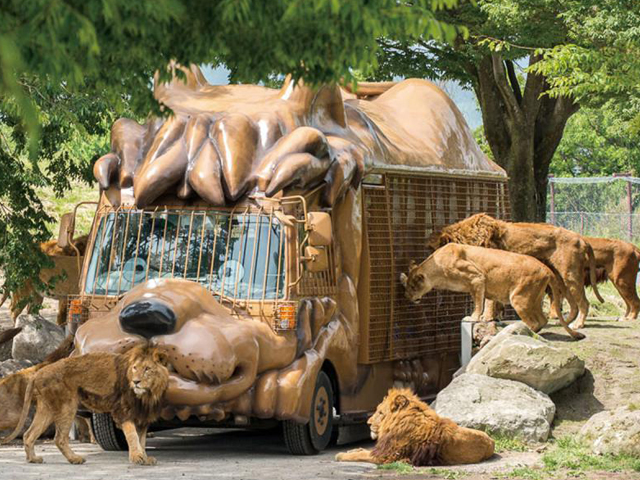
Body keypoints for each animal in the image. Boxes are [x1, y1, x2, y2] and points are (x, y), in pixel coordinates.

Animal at [336, 388, 496, 466]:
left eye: (380, 412)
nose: (368, 423)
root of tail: (492, 440)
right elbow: (363, 451)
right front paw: (353, 449)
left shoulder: (386, 455)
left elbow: (360, 455)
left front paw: (341, 455)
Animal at [400, 242, 584, 340]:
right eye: (406, 287)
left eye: (412, 287)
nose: (407, 296)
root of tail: (546, 268)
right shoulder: (477, 285)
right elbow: (481, 301)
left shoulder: (477, 277)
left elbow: (478, 303)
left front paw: (473, 317)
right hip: (533, 298)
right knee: (542, 320)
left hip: (519, 298)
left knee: (535, 322)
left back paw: (515, 331)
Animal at [428, 214, 604, 330]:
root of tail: (581, 238)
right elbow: (493, 299)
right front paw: (495, 317)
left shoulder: (488, 268)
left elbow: (488, 300)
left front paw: (486, 317)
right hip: (561, 278)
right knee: (573, 304)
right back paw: (564, 323)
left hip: (570, 274)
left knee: (584, 303)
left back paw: (578, 325)